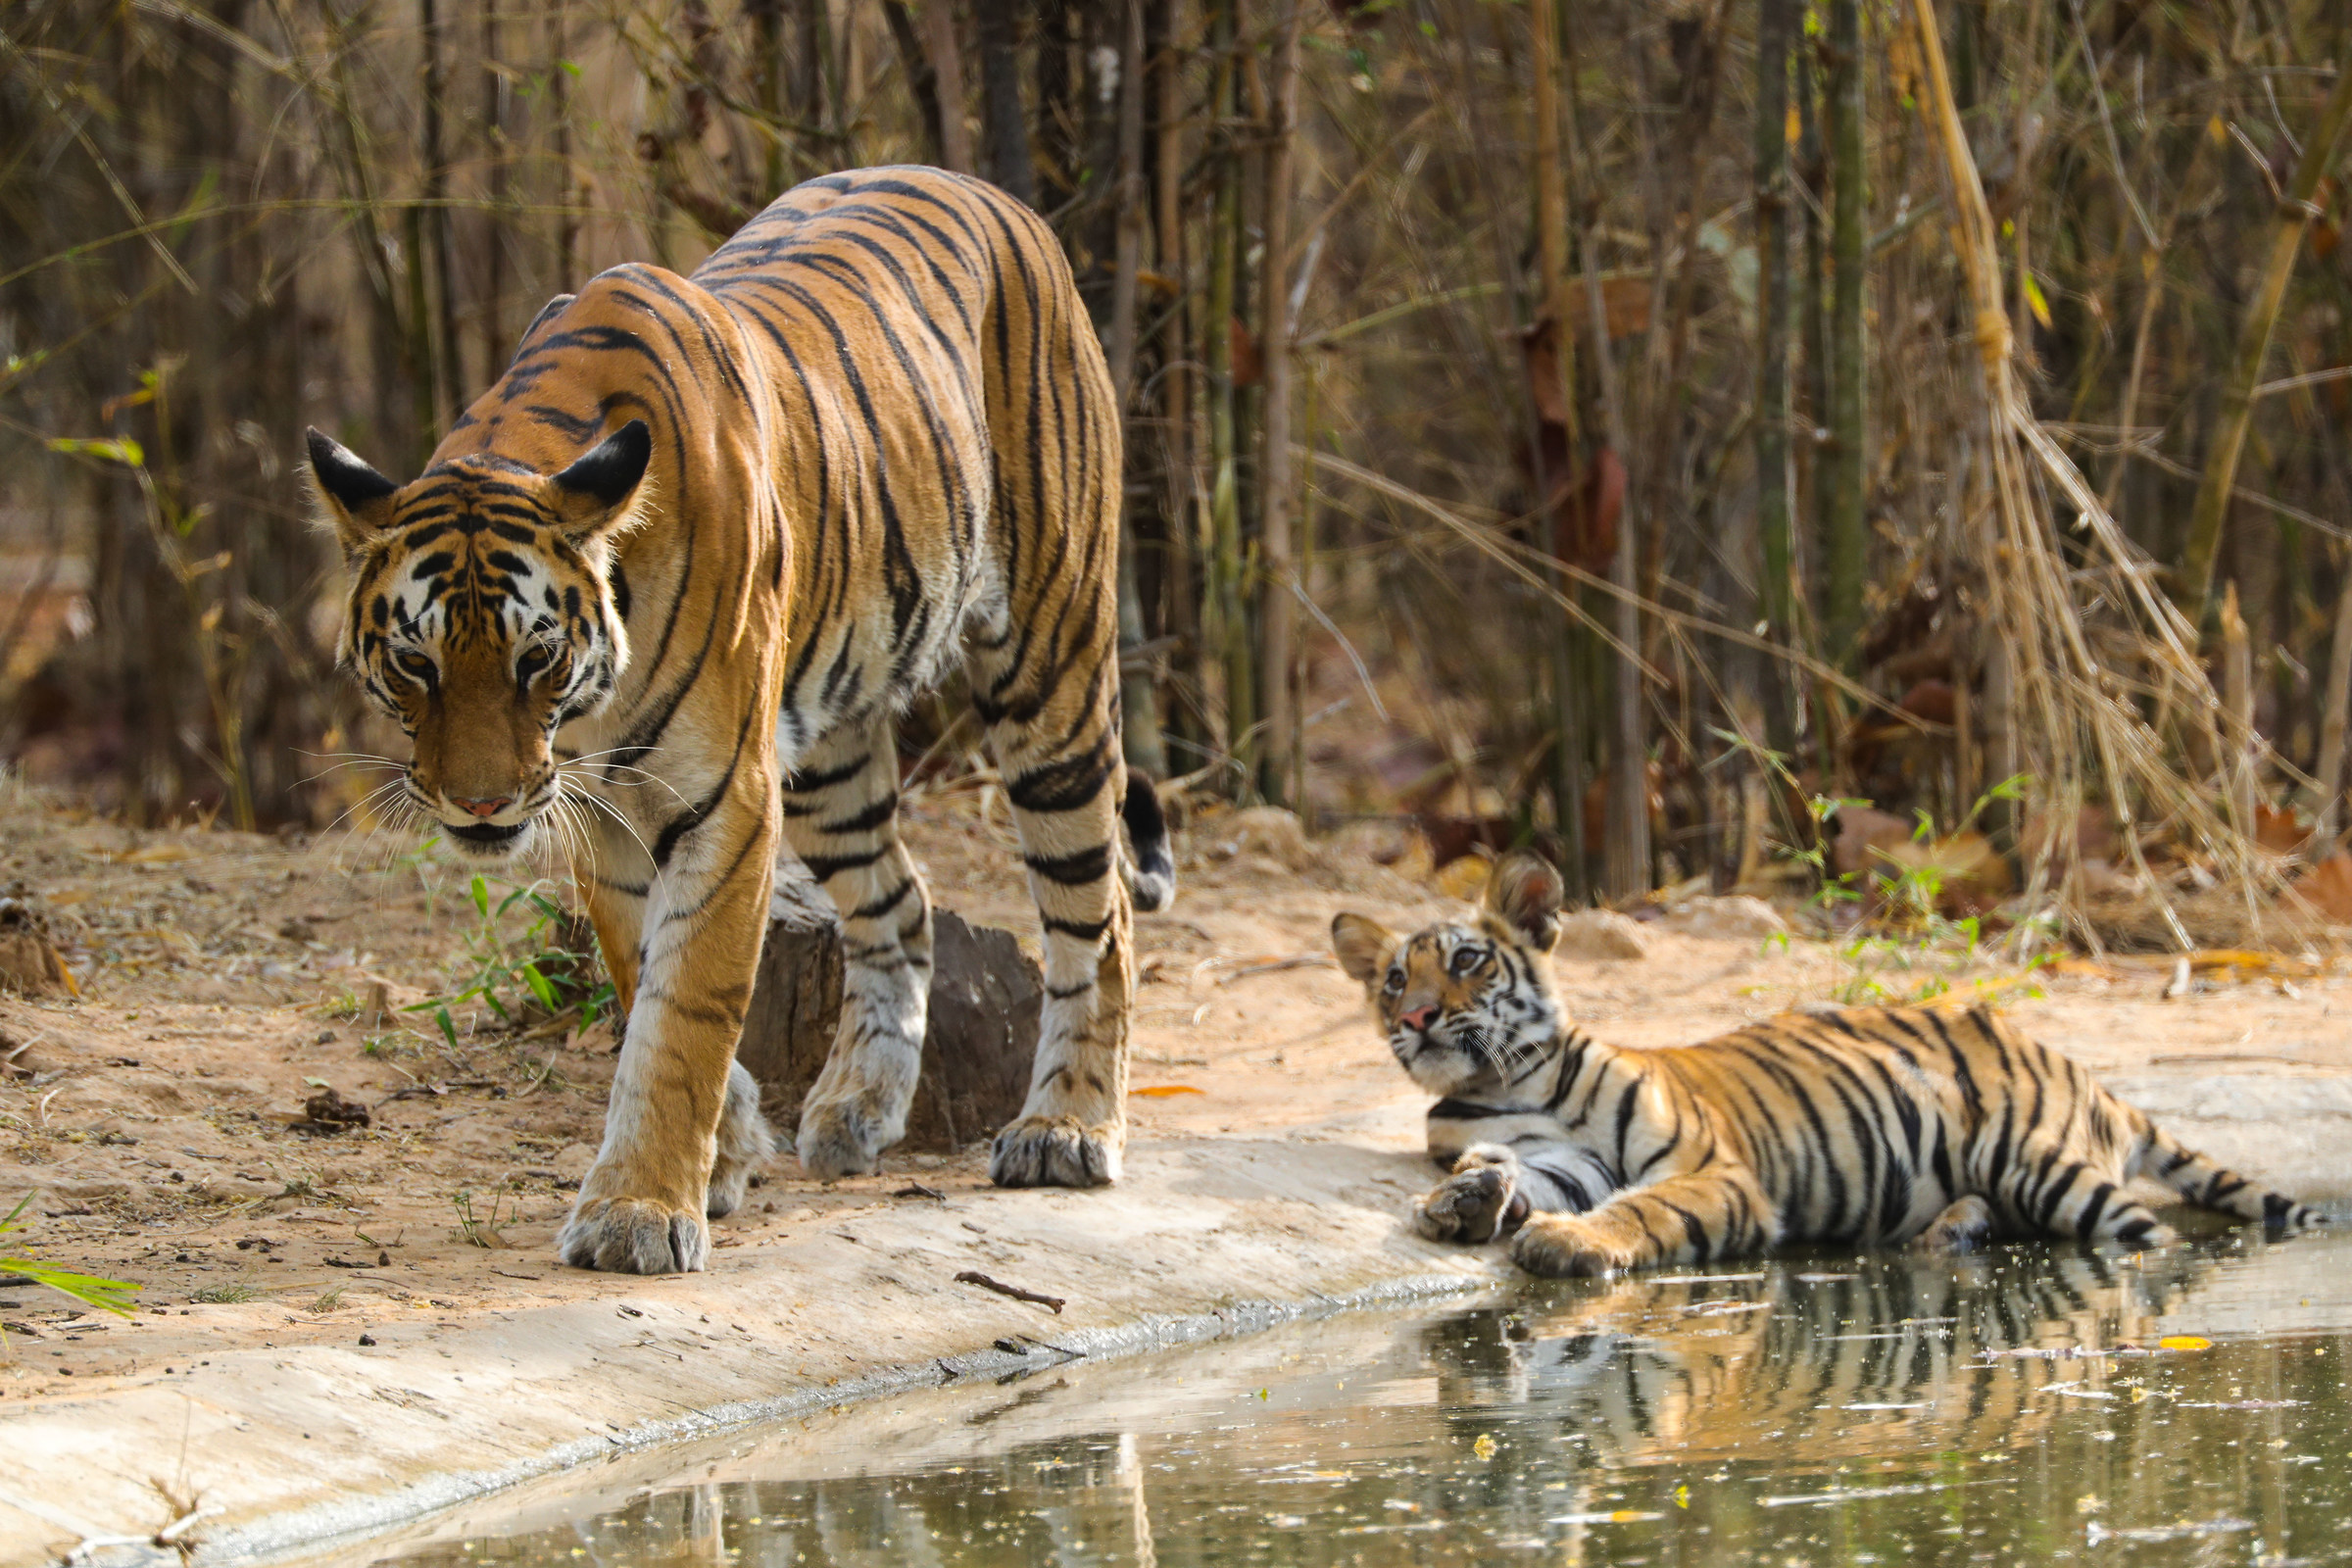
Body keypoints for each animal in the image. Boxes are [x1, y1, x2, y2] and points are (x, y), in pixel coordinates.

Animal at [305, 166, 1175, 1276]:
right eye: (414, 664)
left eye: (535, 659)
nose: (481, 805)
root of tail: (1001, 199)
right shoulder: (610, 811)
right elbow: (644, 981)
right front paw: (727, 1150)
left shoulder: (723, 802)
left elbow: (687, 1010)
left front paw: (638, 1210)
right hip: (829, 753)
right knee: (901, 904)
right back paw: (857, 1107)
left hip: (1049, 669)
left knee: (1095, 914)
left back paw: (1066, 1128)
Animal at [1331, 850, 2322, 1278]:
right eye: (1393, 978)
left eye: (1467, 960)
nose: (1414, 1017)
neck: (1511, 1082)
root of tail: (2082, 1070)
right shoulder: (1562, 1158)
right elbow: (1523, 1176)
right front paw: (1466, 1200)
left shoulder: (1710, 1169)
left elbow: (1642, 1207)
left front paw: (1569, 1243)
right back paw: (1948, 1231)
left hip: (2042, 1162)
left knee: (2147, 1238)